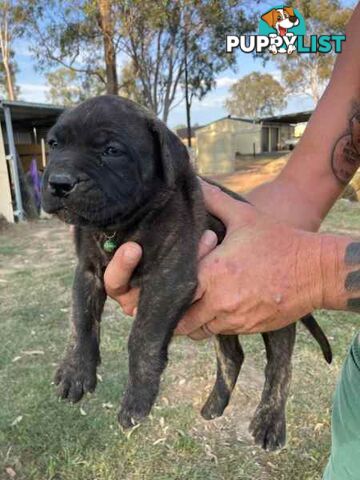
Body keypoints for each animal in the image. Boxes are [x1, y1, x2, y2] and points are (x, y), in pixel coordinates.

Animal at [41, 95, 332, 452]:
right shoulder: (87, 273)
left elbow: (142, 338)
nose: (58, 183)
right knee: (232, 356)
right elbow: (81, 320)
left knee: (279, 367)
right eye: (54, 144)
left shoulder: (167, 278)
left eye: (111, 150)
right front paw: (75, 371)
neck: (118, 226)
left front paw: (137, 399)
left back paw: (270, 423)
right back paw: (215, 405)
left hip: (275, 315)